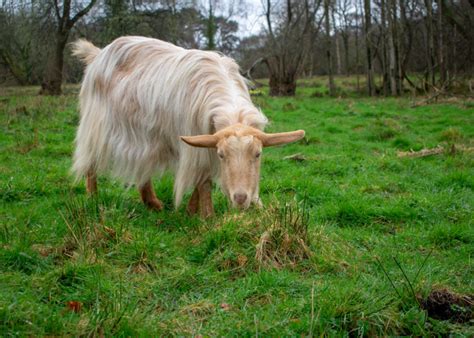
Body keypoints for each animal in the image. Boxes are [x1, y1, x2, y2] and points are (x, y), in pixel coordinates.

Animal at [72, 36, 306, 217]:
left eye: (258, 154)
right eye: (222, 155)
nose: (240, 198)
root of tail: (98, 53)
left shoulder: (205, 142)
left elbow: (203, 177)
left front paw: (192, 210)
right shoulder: (195, 143)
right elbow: (203, 181)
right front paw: (208, 216)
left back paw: (152, 203)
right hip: (95, 125)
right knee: (91, 162)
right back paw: (93, 198)